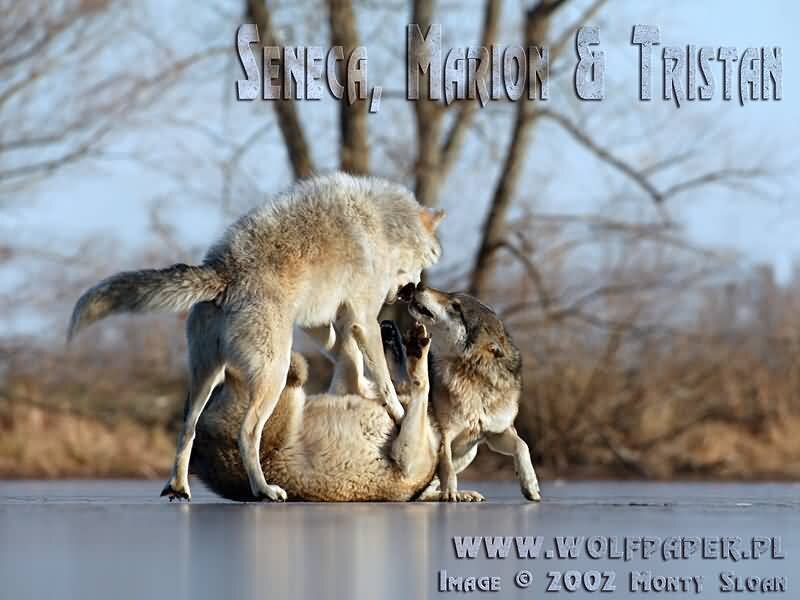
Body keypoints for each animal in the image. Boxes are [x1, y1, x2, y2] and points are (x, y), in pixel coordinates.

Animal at [67, 173, 445, 501]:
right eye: (426, 262)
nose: (412, 292)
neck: (383, 224)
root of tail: (222, 272)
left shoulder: (320, 319)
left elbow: (346, 355)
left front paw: (364, 389)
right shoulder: (363, 318)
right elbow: (381, 374)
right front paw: (396, 407)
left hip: (205, 378)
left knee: (187, 429)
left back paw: (179, 487)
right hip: (272, 377)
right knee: (247, 433)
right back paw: (263, 490)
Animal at [189, 285, 541, 502]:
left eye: (455, 306)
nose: (417, 287)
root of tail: (203, 463)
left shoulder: (492, 433)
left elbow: (521, 445)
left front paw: (529, 483)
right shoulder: (425, 445)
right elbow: (421, 388)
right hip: (284, 396)